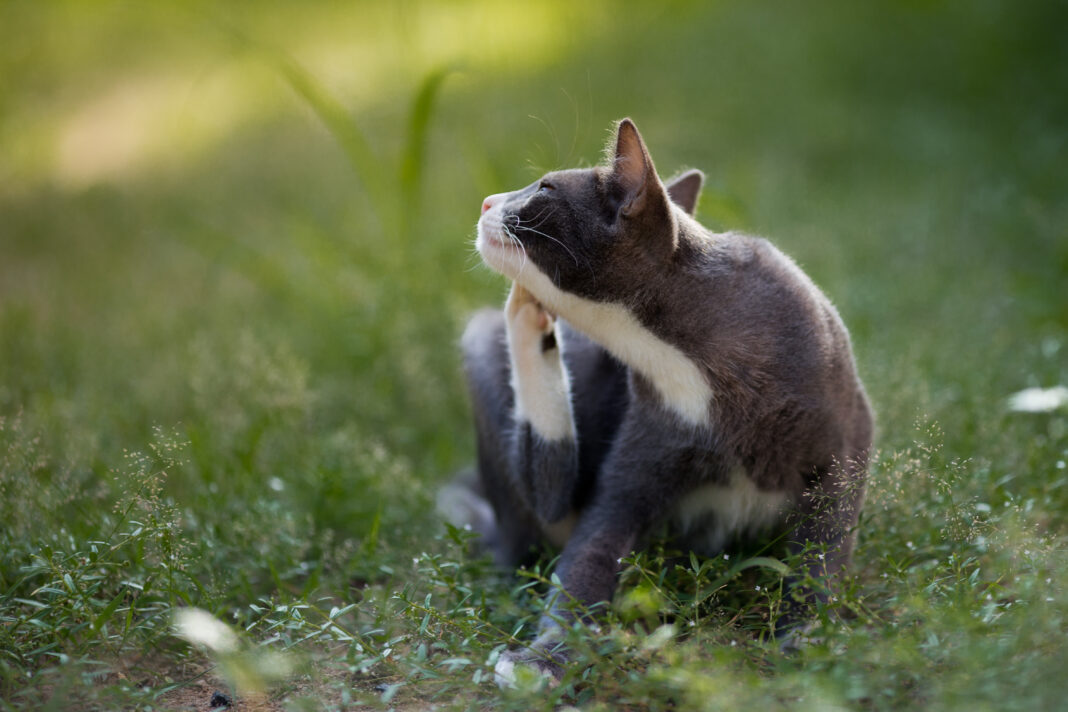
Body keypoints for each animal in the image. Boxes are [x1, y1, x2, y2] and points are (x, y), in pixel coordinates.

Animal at [446, 119, 871, 687]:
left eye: (545, 187)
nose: (488, 201)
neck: (677, 353)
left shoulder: (847, 436)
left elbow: (826, 545)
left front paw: (809, 632)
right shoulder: (641, 446)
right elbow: (588, 554)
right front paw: (544, 658)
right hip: (480, 346)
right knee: (542, 509)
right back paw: (526, 315)